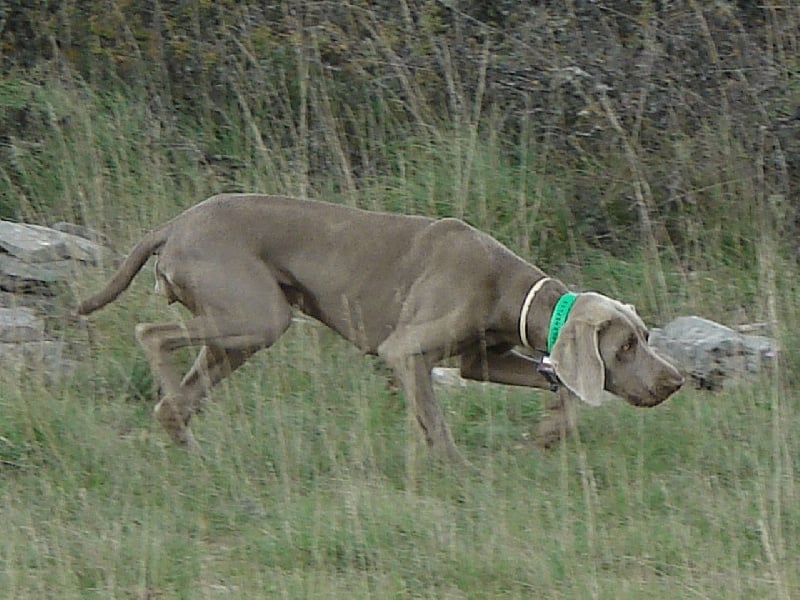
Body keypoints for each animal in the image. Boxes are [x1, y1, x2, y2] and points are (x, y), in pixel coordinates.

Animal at [77, 194, 683, 459]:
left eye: (645, 339)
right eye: (625, 346)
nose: (674, 381)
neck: (509, 287)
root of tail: (175, 222)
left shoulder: (479, 358)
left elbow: (559, 388)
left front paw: (550, 431)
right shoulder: (406, 351)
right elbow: (436, 425)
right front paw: (456, 473)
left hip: (242, 329)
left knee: (178, 391)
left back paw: (184, 435)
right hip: (256, 314)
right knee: (151, 335)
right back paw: (178, 420)